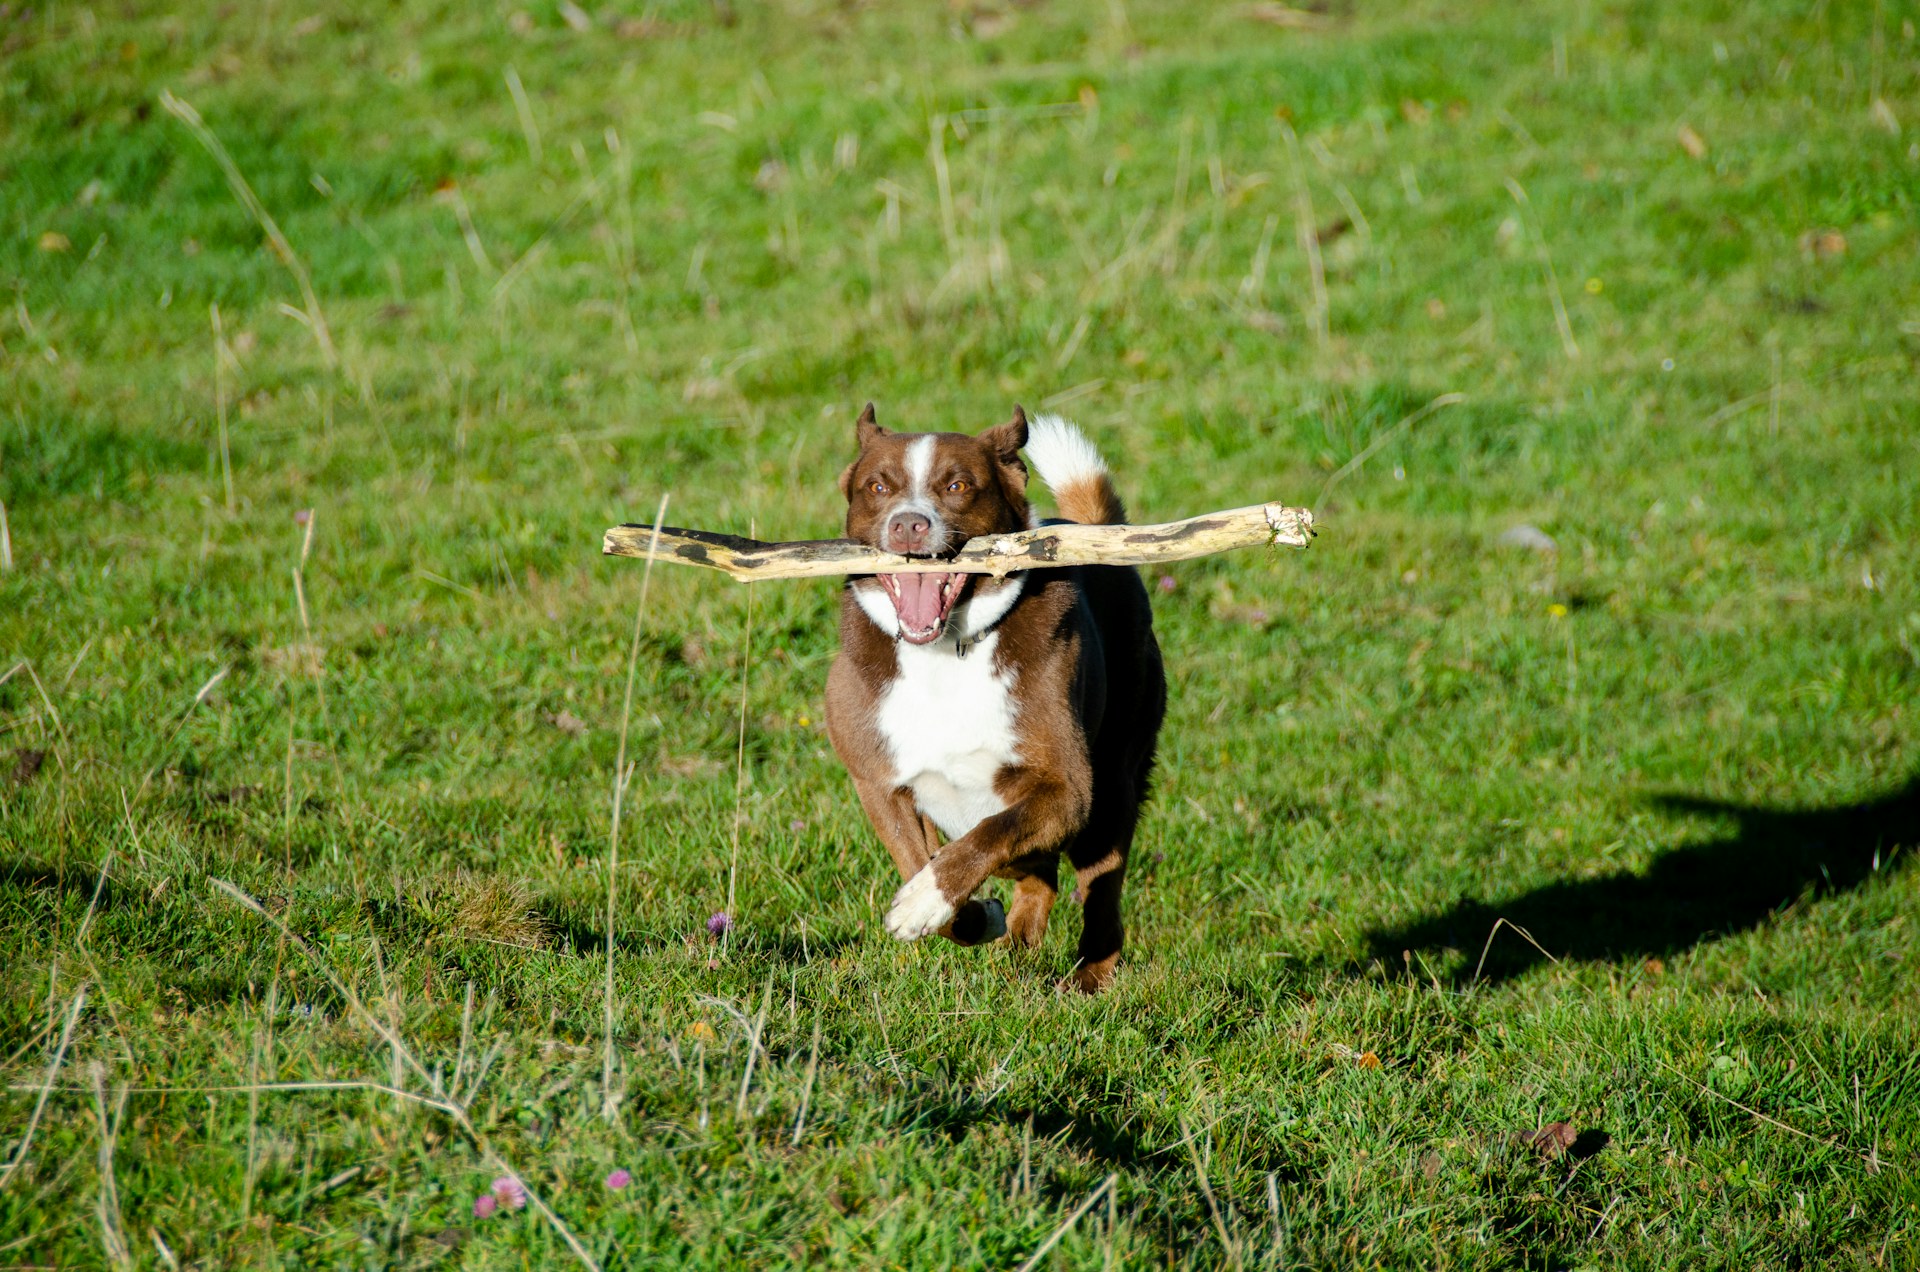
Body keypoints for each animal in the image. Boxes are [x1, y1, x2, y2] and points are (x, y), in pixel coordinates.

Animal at [821, 403, 1159, 991]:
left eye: (958, 485)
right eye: (877, 487)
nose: (907, 524)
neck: (945, 653)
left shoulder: (1067, 789)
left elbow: (990, 835)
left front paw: (924, 902)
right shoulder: (879, 783)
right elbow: (926, 867)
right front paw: (959, 913)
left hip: (1115, 779)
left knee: (1100, 886)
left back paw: (1088, 979)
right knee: (1038, 873)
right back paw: (1017, 945)